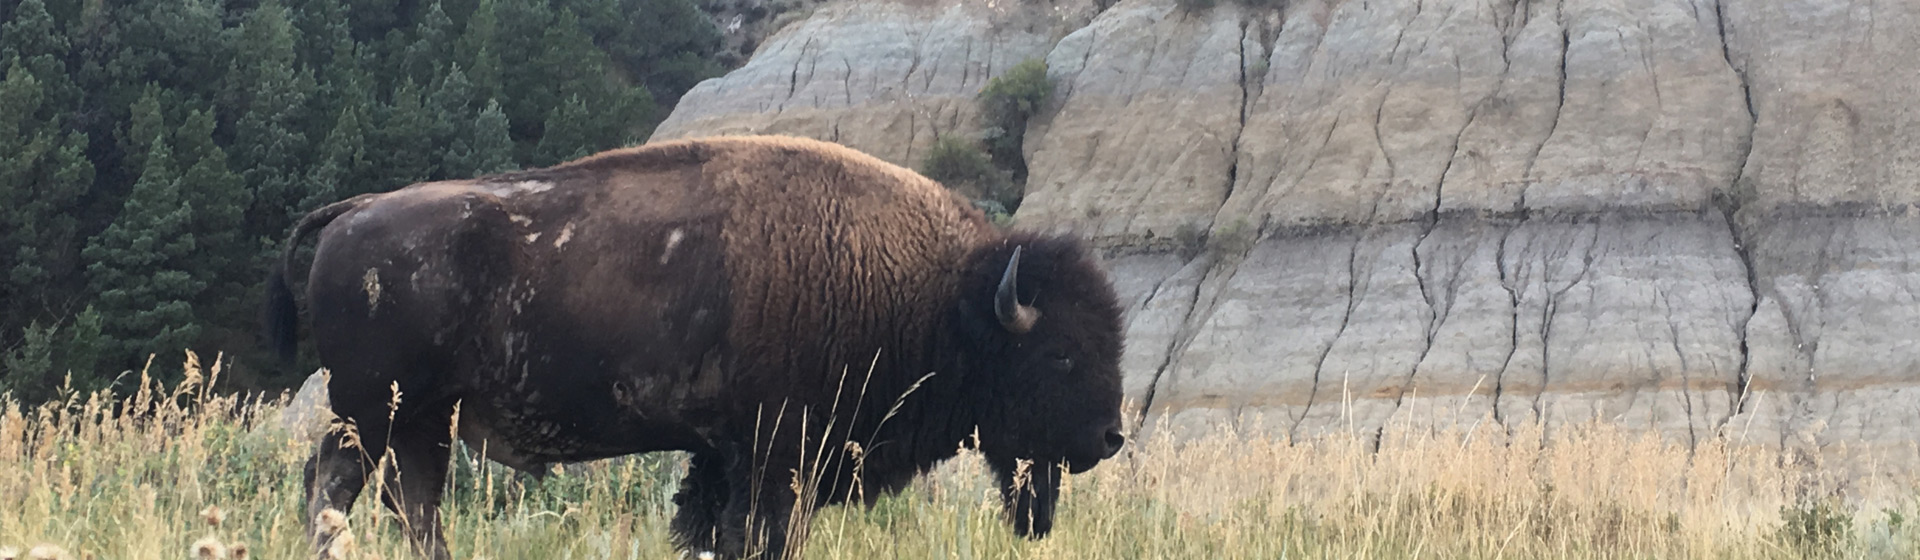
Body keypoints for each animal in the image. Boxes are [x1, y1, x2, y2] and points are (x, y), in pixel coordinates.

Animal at [265, 136, 1128, 559]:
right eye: (1060, 354)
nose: (1108, 437)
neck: (938, 296)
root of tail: (353, 211)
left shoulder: (723, 459)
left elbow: (708, 531)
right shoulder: (779, 459)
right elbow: (758, 536)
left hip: (422, 420)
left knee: (415, 502)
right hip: (369, 412)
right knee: (332, 486)